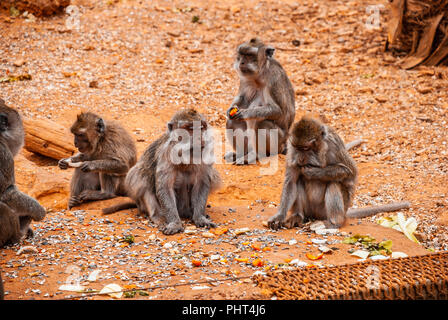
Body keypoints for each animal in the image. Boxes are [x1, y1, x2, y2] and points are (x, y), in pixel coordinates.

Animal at [101, 107, 220, 235]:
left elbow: (201, 184)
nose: (200, 138)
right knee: (140, 176)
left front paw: (200, 218)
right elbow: (164, 187)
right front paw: (175, 223)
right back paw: (158, 216)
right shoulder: (165, 154)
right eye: (189, 128)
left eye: (202, 127)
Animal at [226, 37, 296, 165]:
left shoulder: (273, 80)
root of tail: (284, 145)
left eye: (249, 55)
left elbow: (278, 110)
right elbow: (242, 98)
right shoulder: (244, 79)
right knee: (232, 122)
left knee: (261, 123)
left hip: (277, 143)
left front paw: (246, 113)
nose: (241, 62)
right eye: (241, 54)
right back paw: (240, 154)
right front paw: (230, 109)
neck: (258, 75)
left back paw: (255, 155)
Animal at [268, 117, 412, 230]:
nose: (301, 159)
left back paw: (333, 223)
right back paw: (297, 216)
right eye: (297, 148)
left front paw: (313, 172)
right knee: (298, 181)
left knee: (334, 183)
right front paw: (279, 217)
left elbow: (349, 171)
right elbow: (291, 182)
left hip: (330, 210)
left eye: (305, 148)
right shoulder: (291, 152)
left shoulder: (334, 145)